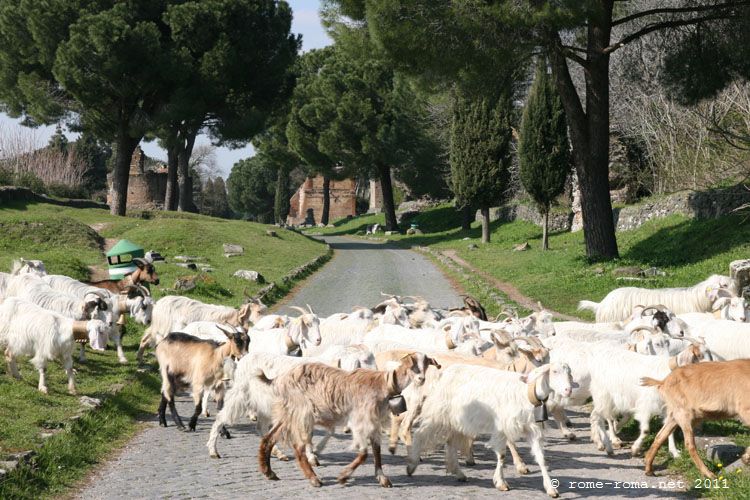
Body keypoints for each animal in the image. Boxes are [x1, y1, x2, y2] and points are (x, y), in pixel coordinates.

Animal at [258, 354, 440, 490]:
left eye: (426, 364)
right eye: (412, 365)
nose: (421, 379)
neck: (383, 384)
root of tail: (278, 380)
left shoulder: (373, 422)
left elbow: (376, 451)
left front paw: (382, 478)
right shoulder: (361, 419)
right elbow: (364, 453)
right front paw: (343, 477)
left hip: (288, 413)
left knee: (269, 438)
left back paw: (268, 472)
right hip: (302, 412)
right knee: (298, 446)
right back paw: (314, 479)